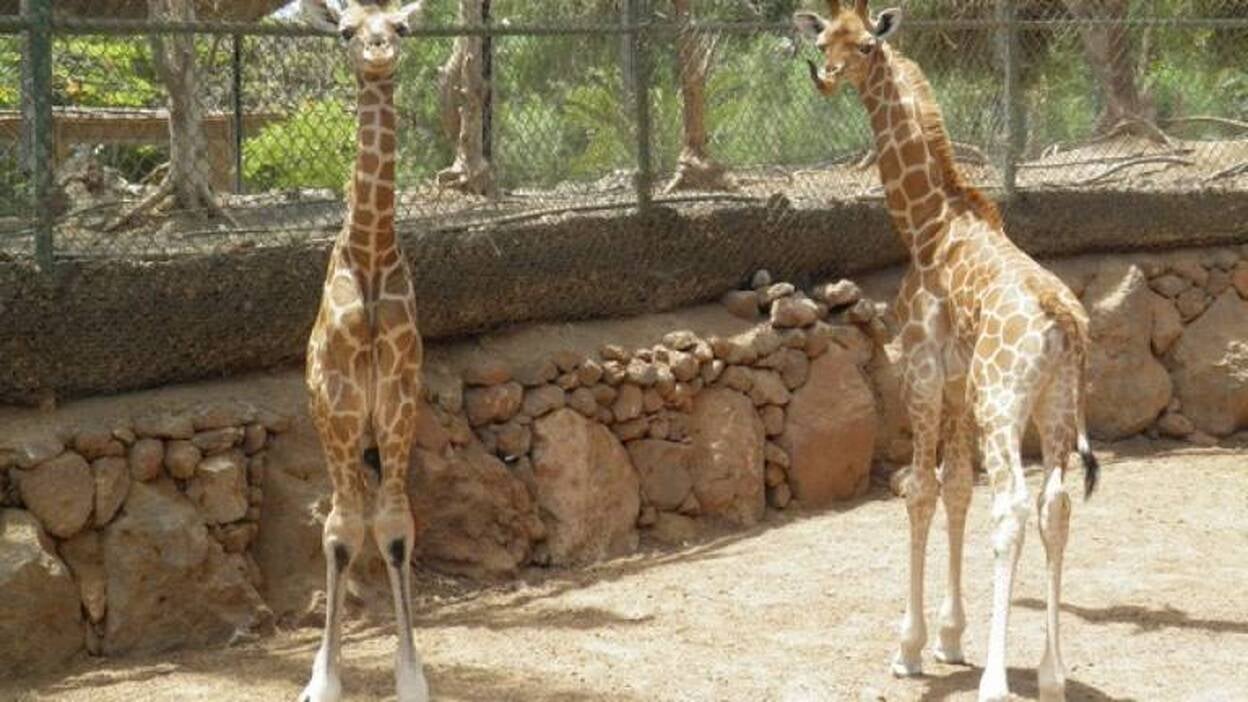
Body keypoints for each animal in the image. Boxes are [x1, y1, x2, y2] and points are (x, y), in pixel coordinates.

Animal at [794, 3, 1101, 700]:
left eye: (863, 46)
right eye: (825, 41)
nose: (826, 77)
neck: (929, 224)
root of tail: (1064, 325)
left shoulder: (924, 371)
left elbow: (920, 490)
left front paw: (910, 649)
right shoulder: (958, 382)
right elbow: (957, 488)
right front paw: (950, 637)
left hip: (1002, 403)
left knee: (1013, 506)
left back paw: (996, 681)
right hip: (1056, 408)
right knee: (1056, 505)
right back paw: (1051, 674)